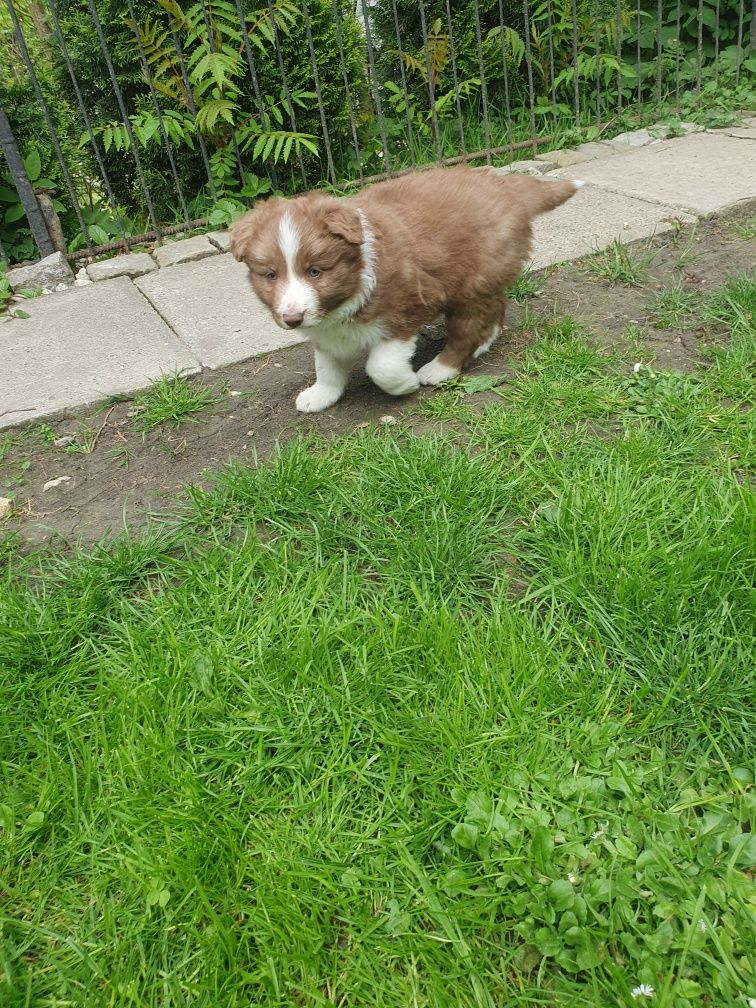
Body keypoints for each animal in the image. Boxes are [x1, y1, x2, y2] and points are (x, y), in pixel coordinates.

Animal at [229, 167, 580, 411]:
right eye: (270, 275)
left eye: (315, 271)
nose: (292, 319)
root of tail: (505, 188)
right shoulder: (327, 331)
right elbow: (326, 364)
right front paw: (321, 395)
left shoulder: (403, 312)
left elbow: (380, 366)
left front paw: (406, 384)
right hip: (486, 280)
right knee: (494, 310)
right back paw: (482, 345)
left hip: (471, 284)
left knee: (467, 328)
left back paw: (439, 369)